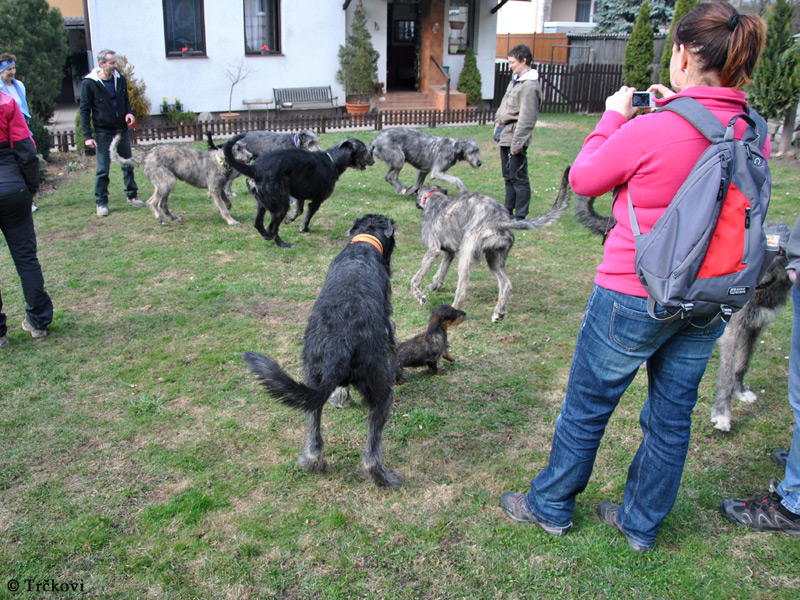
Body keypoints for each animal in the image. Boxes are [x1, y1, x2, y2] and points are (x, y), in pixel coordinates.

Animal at [109, 134, 252, 225]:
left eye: (245, 147)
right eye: (237, 149)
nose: (251, 156)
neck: (220, 161)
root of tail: (147, 154)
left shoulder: (220, 188)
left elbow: (228, 203)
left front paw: (221, 209)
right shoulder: (214, 189)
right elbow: (224, 207)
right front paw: (231, 221)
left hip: (166, 184)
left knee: (162, 204)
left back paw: (171, 217)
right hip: (166, 181)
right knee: (151, 202)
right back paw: (159, 218)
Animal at [223, 133, 374, 248]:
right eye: (364, 150)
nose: (373, 161)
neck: (332, 160)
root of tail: (253, 169)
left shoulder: (299, 196)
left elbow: (299, 210)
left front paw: (290, 219)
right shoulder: (316, 201)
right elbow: (307, 215)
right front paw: (304, 228)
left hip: (262, 203)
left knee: (258, 223)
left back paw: (266, 236)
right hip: (280, 206)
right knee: (272, 228)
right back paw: (282, 244)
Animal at [241, 214, 404, 488]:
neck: (364, 244)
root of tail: (341, 342)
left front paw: (340, 398)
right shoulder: (388, 321)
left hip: (311, 376)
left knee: (314, 427)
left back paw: (311, 461)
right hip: (381, 388)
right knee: (371, 450)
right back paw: (384, 478)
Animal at [410, 164, 572, 324]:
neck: (434, 198)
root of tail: (499, 220)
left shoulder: (432, 250)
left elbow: (416, 279)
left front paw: (420, 296)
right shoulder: (449, 252)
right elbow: (442, 271)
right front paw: (435, 285)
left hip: (466, 255)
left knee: (462, 290)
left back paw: (453, 310)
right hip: (494, 258)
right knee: (506, 283)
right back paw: (499, 313)